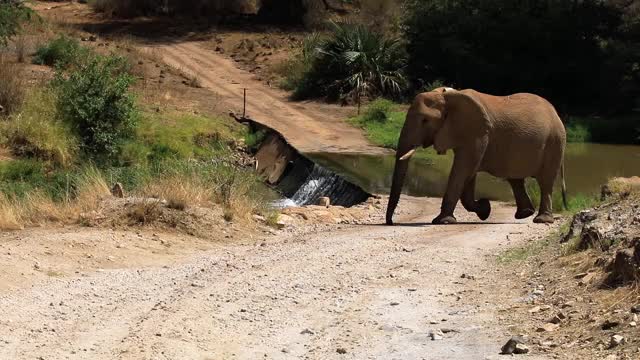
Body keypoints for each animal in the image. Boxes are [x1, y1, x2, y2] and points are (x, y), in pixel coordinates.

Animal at [388, 88, 568, 225]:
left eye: (425, 120)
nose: (390, 222)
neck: (449, 97)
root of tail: (556, 113)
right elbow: (468, 172)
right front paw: (484, 209)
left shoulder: (478, 133)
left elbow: (463, 169)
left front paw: (442, 221)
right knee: (515, 179)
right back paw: (524, 214)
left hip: (554, 142)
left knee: (545, 181)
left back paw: (542, 220)